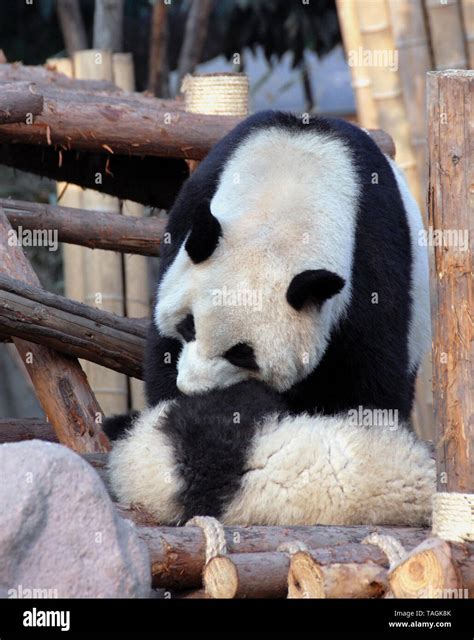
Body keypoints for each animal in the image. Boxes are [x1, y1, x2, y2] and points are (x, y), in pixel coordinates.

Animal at [105, 111, 432, 524]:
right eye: (188, 326)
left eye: (242, 353)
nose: (193, 391)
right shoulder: (193, 214)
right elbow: (162, 355)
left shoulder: (370, 255)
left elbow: (370, 378)